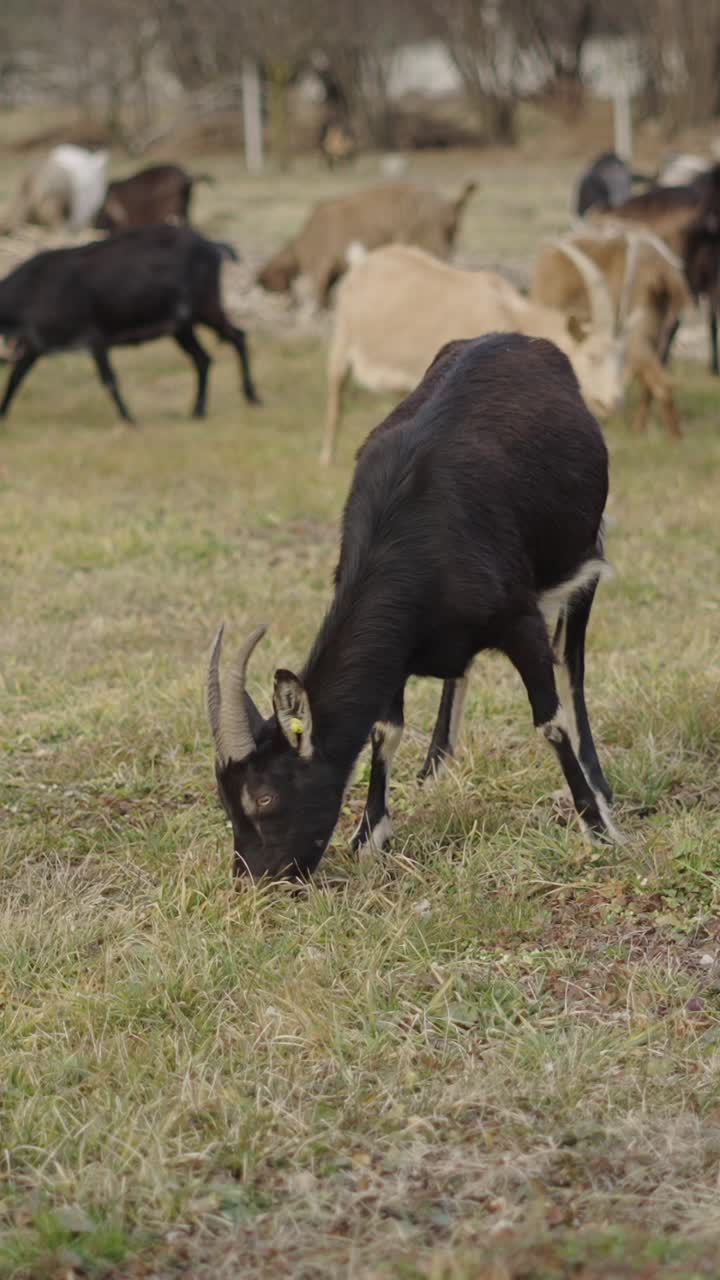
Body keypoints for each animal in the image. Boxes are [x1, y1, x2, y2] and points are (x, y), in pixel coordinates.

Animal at [0, 225, 259, 423]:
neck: (34, 290)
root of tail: (213, 245)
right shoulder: (35, 346)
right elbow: (15, 380)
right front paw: (2, 416)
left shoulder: (94, 339)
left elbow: (110, 380)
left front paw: (129, 420)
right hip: (181, 326)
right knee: (203, 358)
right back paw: (198, 410)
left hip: (205, 307)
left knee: (238, 337)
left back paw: (252, 396)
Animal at [206, 334, 619, 881]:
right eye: (225, 801)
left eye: (265, 797)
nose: (254, 879)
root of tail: (520, 340)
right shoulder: (397, 646)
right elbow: (385, 730)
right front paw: (369, 835)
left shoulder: (521, 620)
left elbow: (551, 721)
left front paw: (598, 829)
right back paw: (435, 769)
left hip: (588, 551)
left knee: (573, 663)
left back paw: (600, 784)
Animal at [256, 181, 476, 308]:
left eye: (267, 283)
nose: (289, 303)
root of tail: (450, 205)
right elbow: (328, 292)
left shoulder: (319, 264)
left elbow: (319, 292)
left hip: (428, 240)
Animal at [320, 241, 622, 465]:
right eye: (592, 356)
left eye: (619, 356)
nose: (613, 402)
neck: (511, 313)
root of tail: (362, 262)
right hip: (342, 340)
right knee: (335, 390)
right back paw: (327, 459)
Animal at [532, 230, 689, 437]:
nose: (614, 402)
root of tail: (663, 275)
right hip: (664, 334)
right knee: (657, 384)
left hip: (641, 337)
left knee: (662, 384)